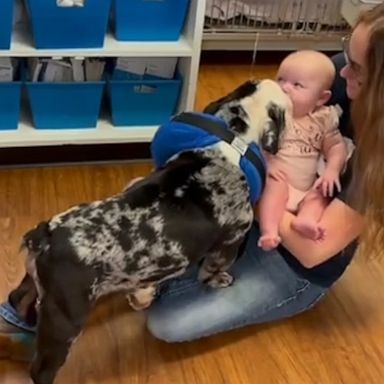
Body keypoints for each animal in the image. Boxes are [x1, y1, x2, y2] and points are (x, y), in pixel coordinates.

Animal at [21, 79, 292, 384]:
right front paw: (218, 280)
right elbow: (211, 272)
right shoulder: (229, 244)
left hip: (36, 291)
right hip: (65, 320)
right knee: (42, 369)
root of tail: (46, 235)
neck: (234, 137)